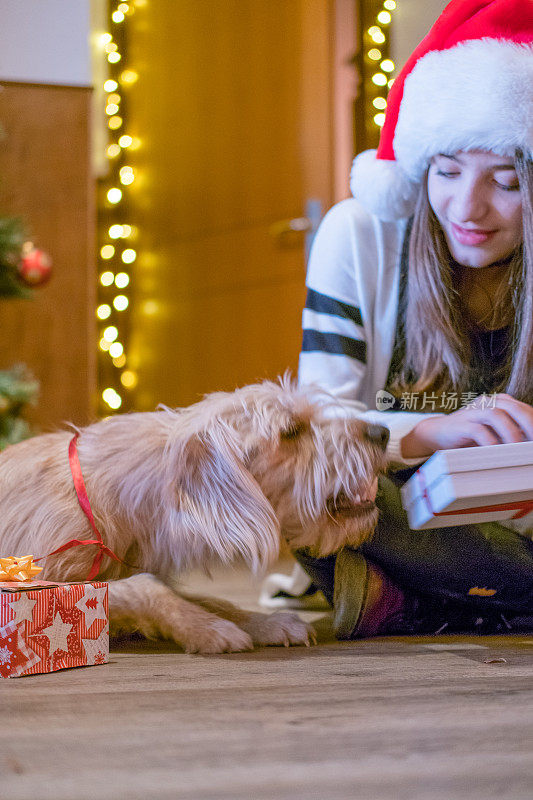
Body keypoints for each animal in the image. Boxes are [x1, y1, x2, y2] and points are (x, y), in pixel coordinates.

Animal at [0, 378, 386, 652]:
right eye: (291, 431)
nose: (382, 431)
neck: (103, 501)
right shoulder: (34, 579)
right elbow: (146, 586)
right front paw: (207, 629)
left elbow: (213, 600)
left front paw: (263, 623)